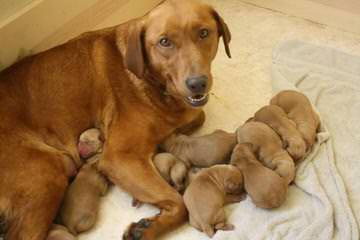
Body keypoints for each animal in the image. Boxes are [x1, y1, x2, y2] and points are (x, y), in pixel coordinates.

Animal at [0, 0, 231, 240]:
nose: (197, 83)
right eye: (164, 42)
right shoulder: (120, 158)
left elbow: (196, 117)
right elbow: (180, 204)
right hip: (48, 172)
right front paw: (148, 229)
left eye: (204, 33)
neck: (149, 80)